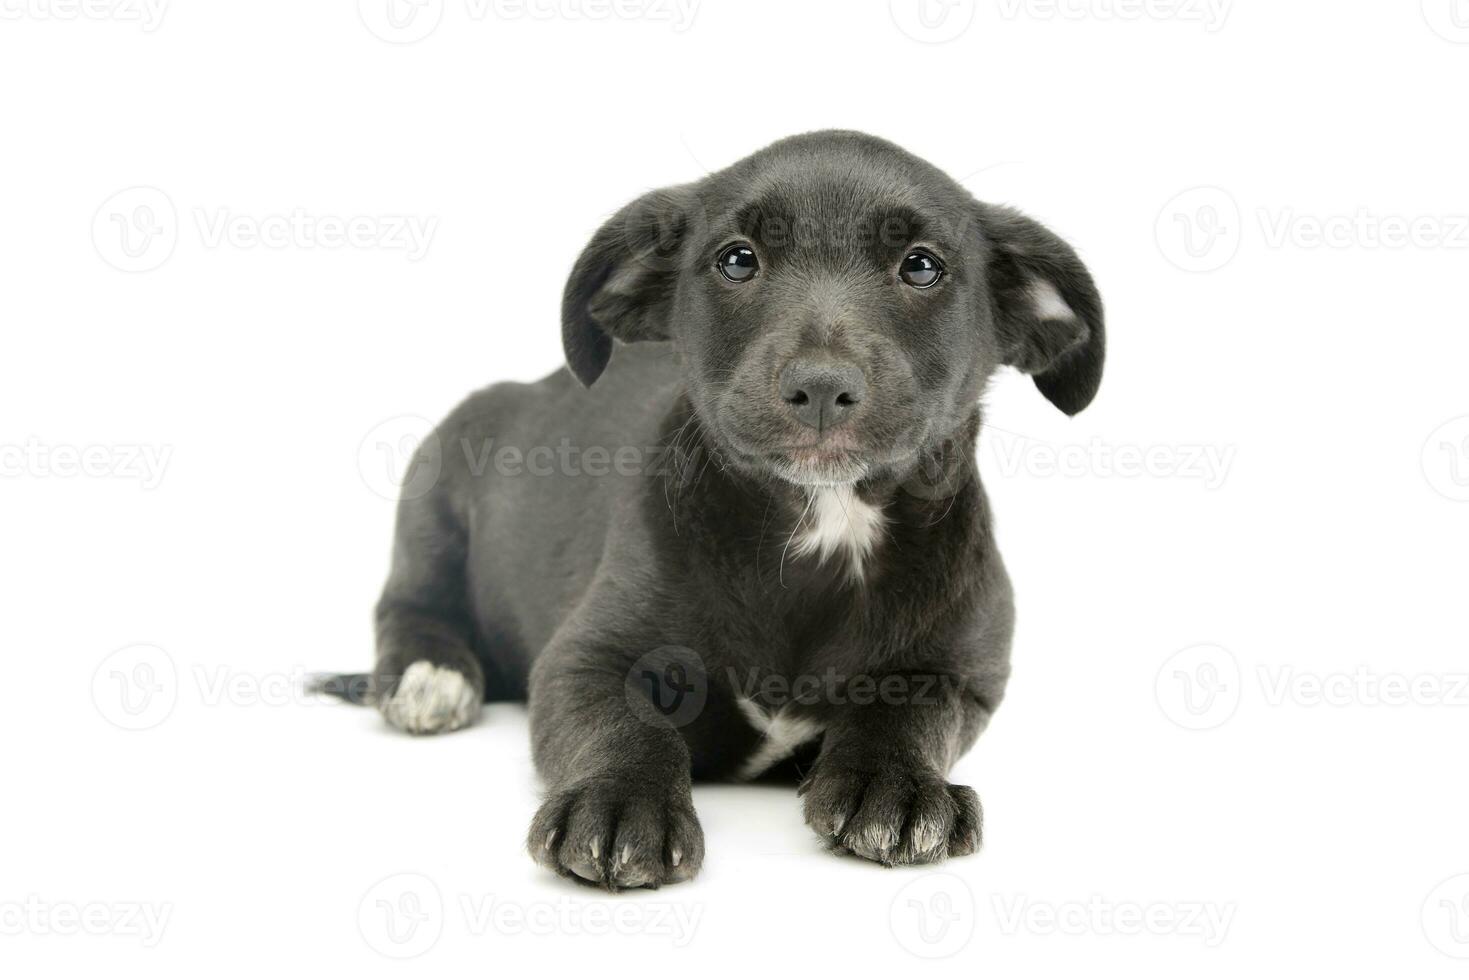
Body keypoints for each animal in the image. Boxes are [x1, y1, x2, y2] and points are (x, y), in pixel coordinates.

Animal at [321, 130, 1104, 887]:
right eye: (737, 259)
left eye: (921, 266)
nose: (822, 387)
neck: (821, 523)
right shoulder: (584, 659)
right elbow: (623, 723)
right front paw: (620, 801)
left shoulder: (961, 675)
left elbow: (909, 712)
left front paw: (897, 785)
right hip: (438, 481)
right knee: (410, 603)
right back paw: (431, 673)